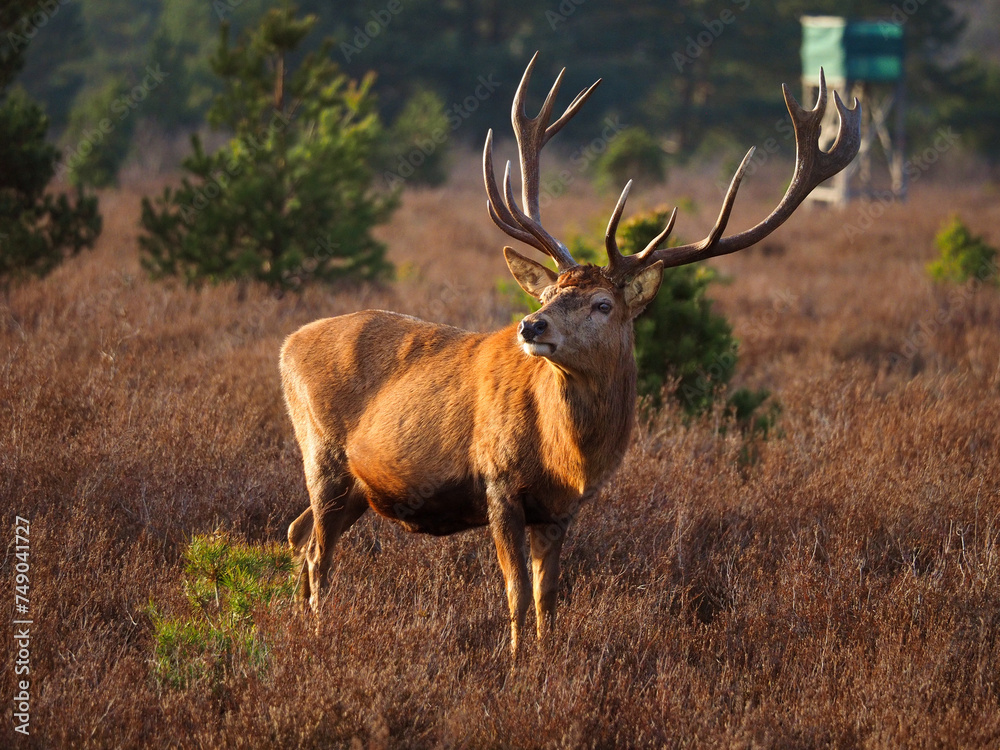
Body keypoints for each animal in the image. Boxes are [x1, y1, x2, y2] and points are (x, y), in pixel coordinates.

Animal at [281, 53, 860, 653]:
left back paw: (298, 621)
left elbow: (548, 598)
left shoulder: (561, 509)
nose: (530, 324)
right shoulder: (498, 482)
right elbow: (515, 591)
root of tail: (287, 343)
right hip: (322, 451)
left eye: (603, 304)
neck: (565, 454)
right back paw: (318, 630)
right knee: (318, 549)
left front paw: (545, 661)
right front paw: (515, 665)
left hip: (358, 485)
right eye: (549, 294)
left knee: (298, 532)